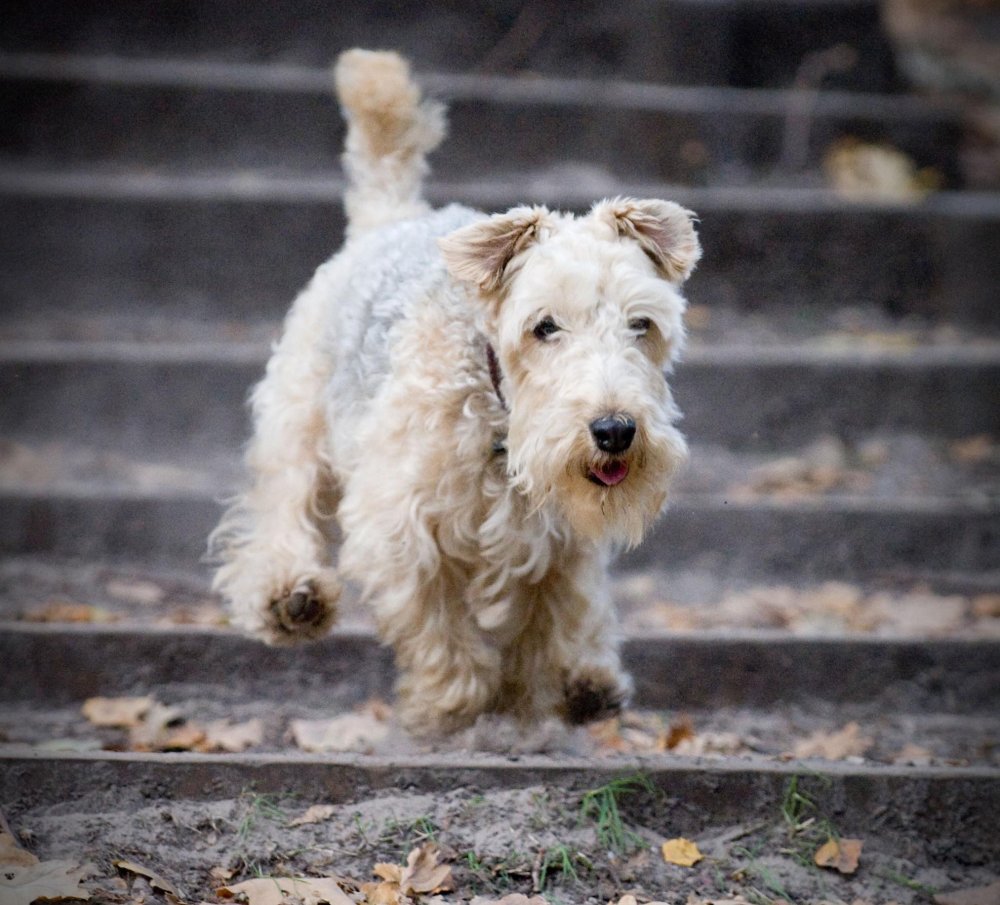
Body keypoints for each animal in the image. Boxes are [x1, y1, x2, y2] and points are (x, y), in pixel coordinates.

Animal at [209, 49, 704, 736]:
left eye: (642, 324)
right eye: (544, 326)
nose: (614, 430)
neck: (497, 413)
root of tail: (393, 218)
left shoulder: (559, 544)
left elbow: (558, 615)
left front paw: (554, 687)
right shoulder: (401, 524)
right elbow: (439, 629)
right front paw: (452, 702)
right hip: (298, 413)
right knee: (283, 504)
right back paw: (290, 596)